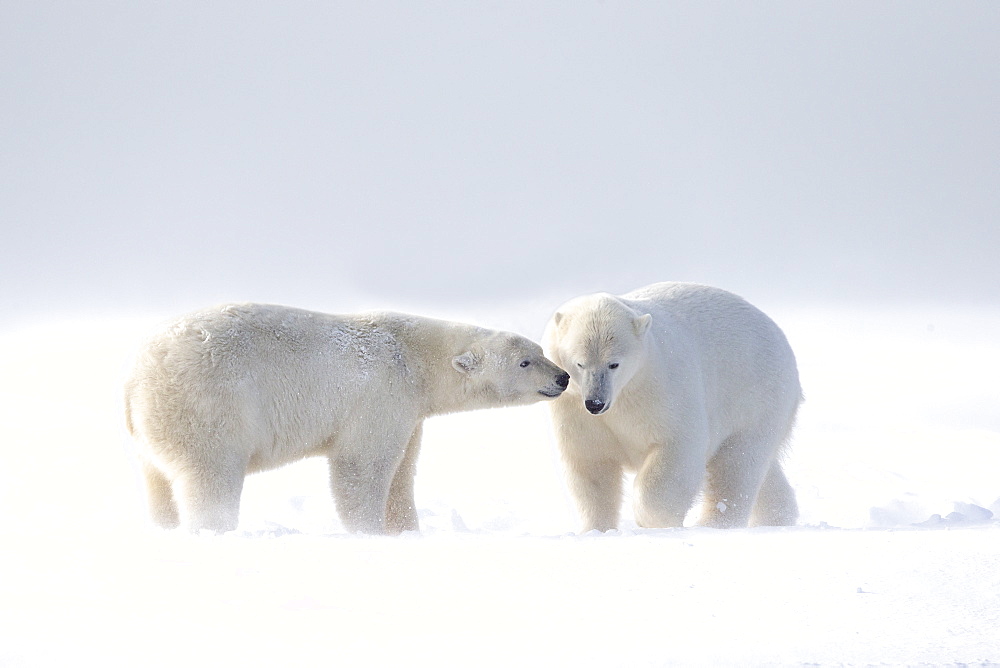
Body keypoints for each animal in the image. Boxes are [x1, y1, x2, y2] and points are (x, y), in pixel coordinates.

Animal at [123, 302, 572, 532]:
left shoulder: (410, 410)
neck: (413, 355)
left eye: (541, 350)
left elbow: (402, 472)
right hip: (210, 406)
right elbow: (362, 467)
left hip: (152, 431)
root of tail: (138, 378)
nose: (563, 377)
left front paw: (406, 530)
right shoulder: (381, 393)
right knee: (210, 476)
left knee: (158, 482)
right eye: (526, 361)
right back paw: (214, 529)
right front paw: (368, 532)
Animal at [544, 284, 800, 532]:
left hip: (756, 395)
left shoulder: (661, 388)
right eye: (580, 363)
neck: (626, 390)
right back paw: (777, 516)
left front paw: (656, 521)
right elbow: (591, 464)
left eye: (613, 364)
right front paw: (595, 530)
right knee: (762, 469)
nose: (595, 403)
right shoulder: (574, 408)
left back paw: (712, 524)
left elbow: (677, 447)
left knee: (736, 463)